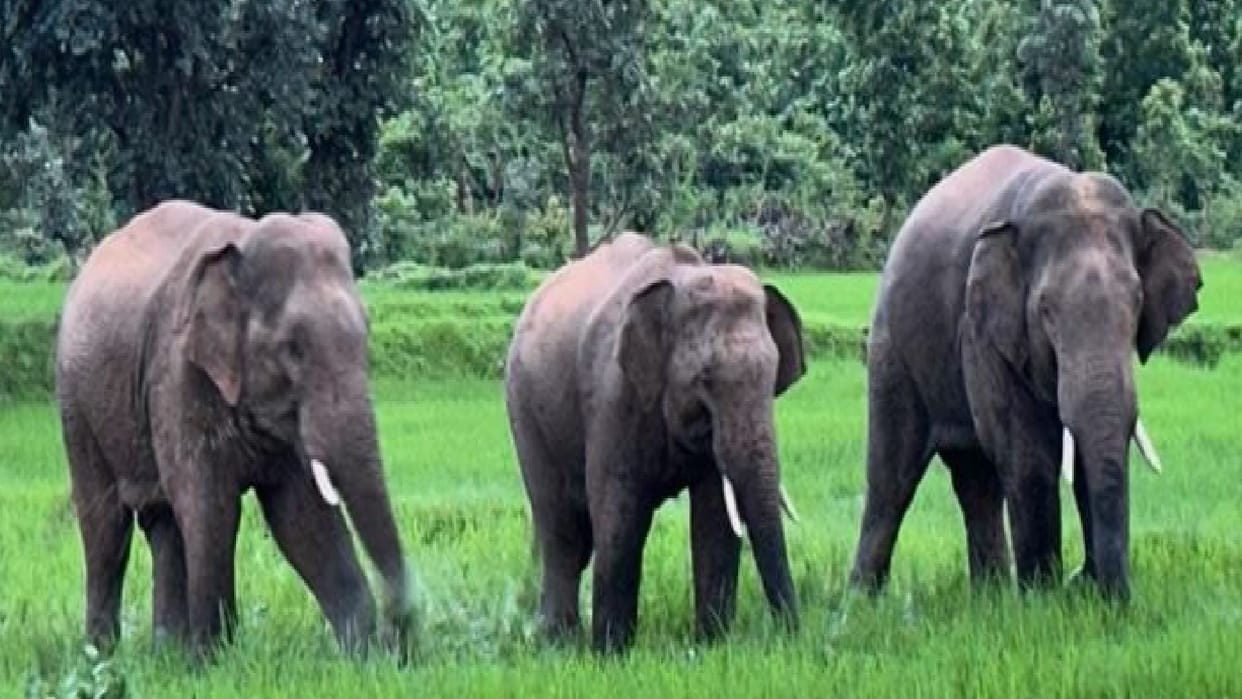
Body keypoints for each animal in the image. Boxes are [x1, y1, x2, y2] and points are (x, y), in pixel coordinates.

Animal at [54, 199, 415, 657]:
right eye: (292, 349)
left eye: (365, 337)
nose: (400, 639)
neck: (243, 240)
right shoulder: (179, 372)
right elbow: (211, 507)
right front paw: (214, 659)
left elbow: (301, 516)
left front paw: (362, 656)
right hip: (75, 402)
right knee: (105, 526)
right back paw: (104, 656)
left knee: (163, 523)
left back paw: (166, 654)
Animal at [503, 232, 807, 653]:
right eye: (705, 379)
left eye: (773, 376)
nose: (791, 637)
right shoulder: (614, 395)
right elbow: (620, 510)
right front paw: (611, 654)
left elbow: (715, 517)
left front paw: (713, 646)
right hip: (524, 408)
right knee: (560, 525)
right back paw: (556, 640)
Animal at [848, 144, 1202, 600]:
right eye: (1045, 310)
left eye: (1138, 302)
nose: (1111, 593)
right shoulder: (983, 330)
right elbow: (1029, 455)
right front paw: (1044, 599)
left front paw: (1082, 595)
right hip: (892, 349)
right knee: (892, 479)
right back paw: (863, 601)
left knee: (975, 480)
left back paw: (990, 596)